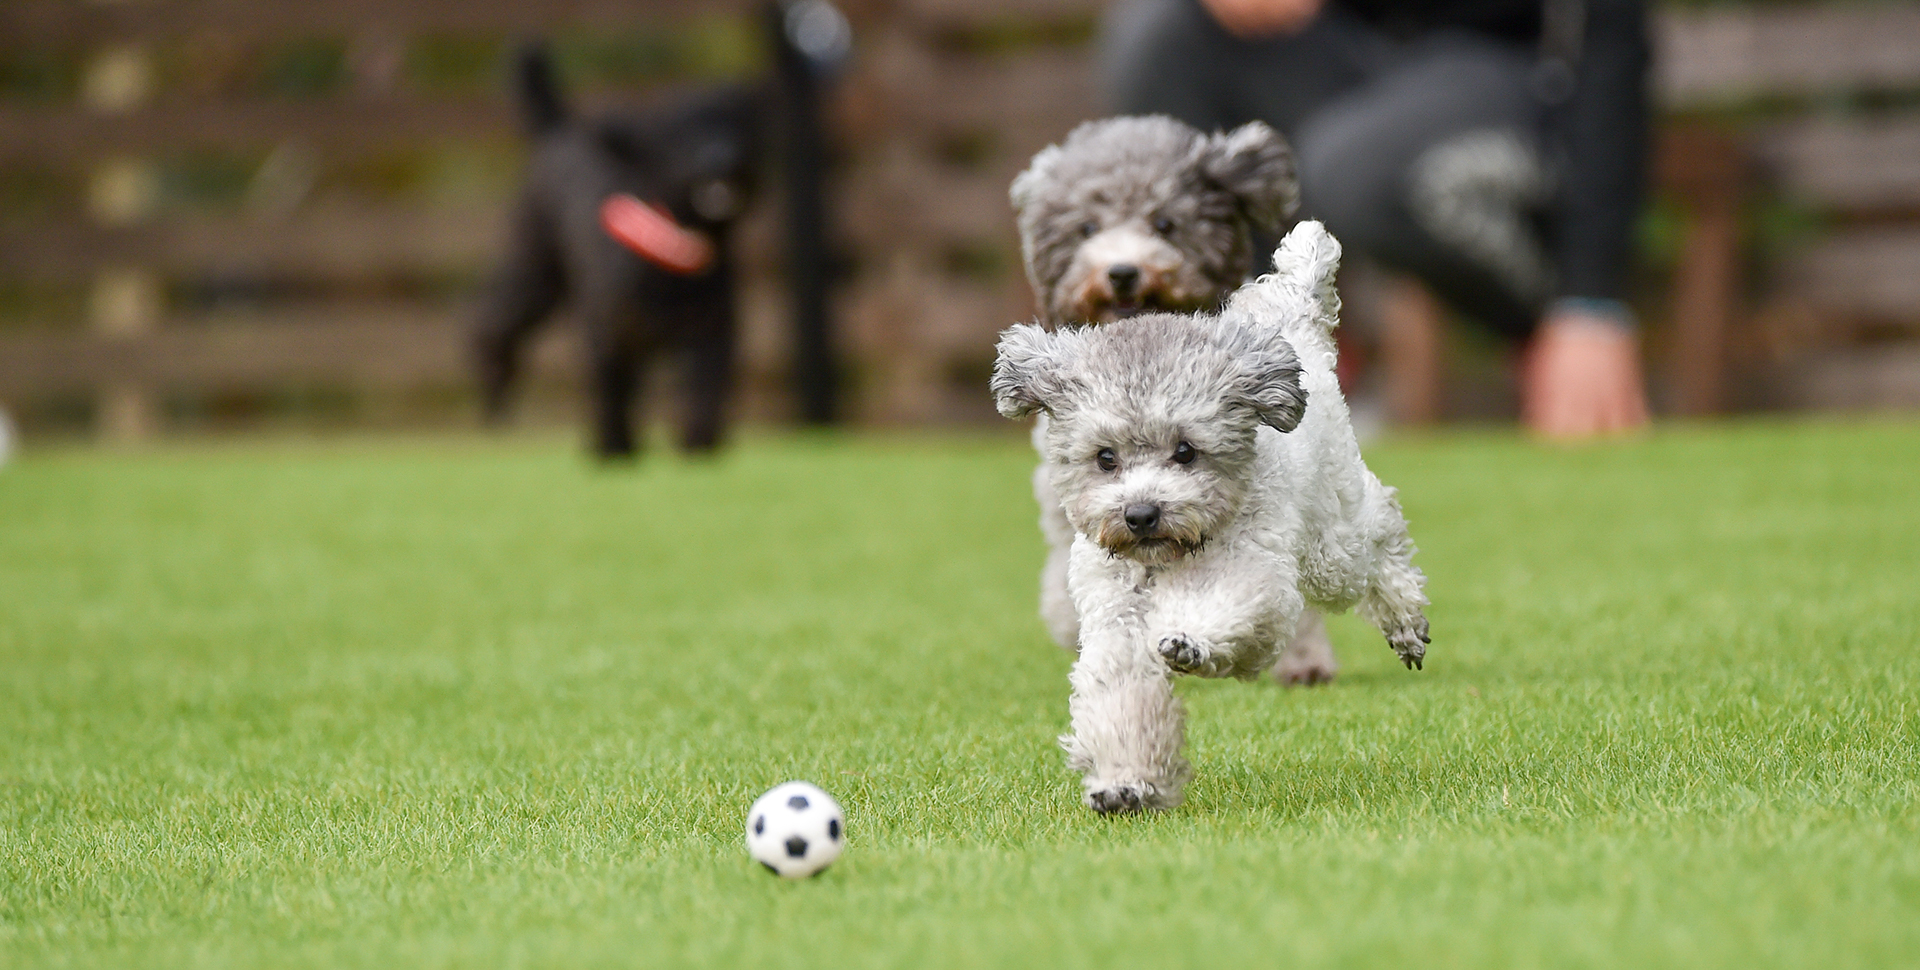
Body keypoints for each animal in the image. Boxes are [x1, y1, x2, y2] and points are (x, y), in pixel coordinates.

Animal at [472, 44, 764, 453]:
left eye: (736, 125)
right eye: (680, 135)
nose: (722, 156)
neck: (670, 245)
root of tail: (561, 129)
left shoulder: (711, 329)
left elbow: (705, 389)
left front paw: (698, 443)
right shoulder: (605, 328)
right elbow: (610, 388)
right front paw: (613, 448)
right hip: (533, 275)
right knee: (490, 325)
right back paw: (494, 382)